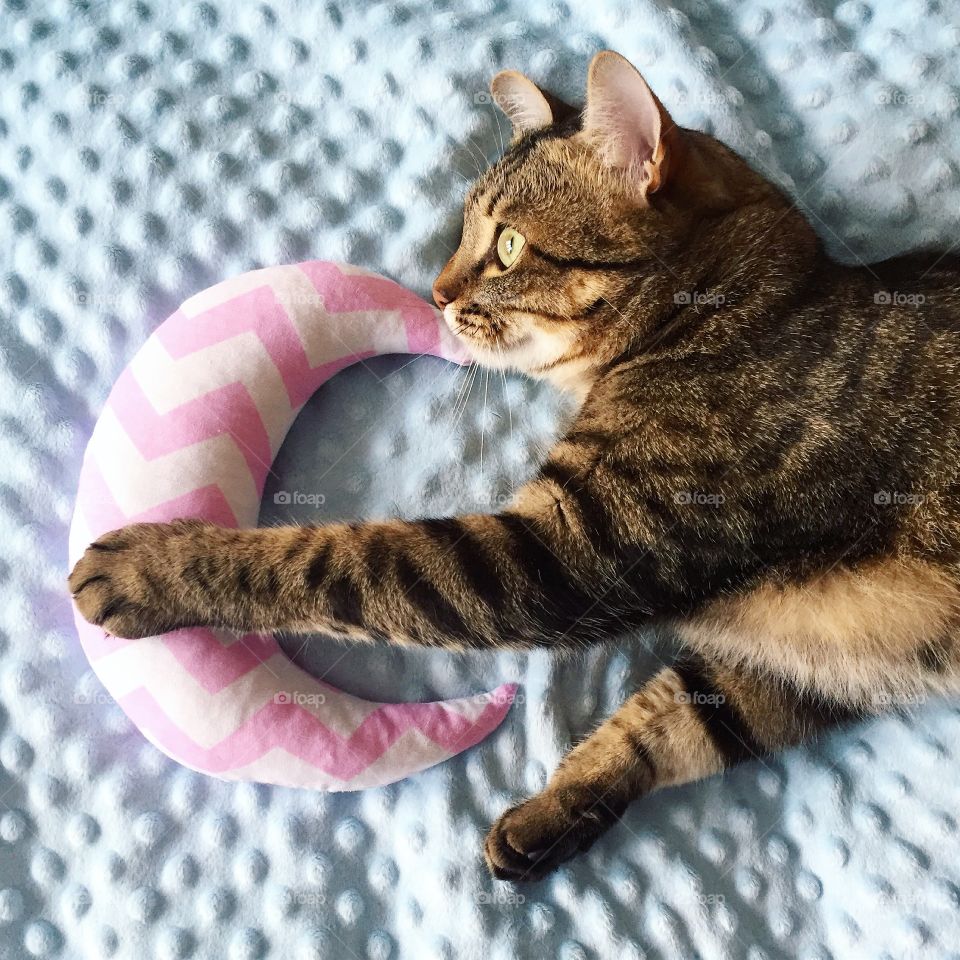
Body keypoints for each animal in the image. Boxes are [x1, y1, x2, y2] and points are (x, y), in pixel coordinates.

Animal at [71, 50, 960, 876]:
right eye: (466, 233)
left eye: (505, 245)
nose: (435, 293)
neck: (734, 310)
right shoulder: (796, 669)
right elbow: (674, 723)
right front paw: (554, 811)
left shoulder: (565, 551)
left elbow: (336, 561)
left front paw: (153, 567)